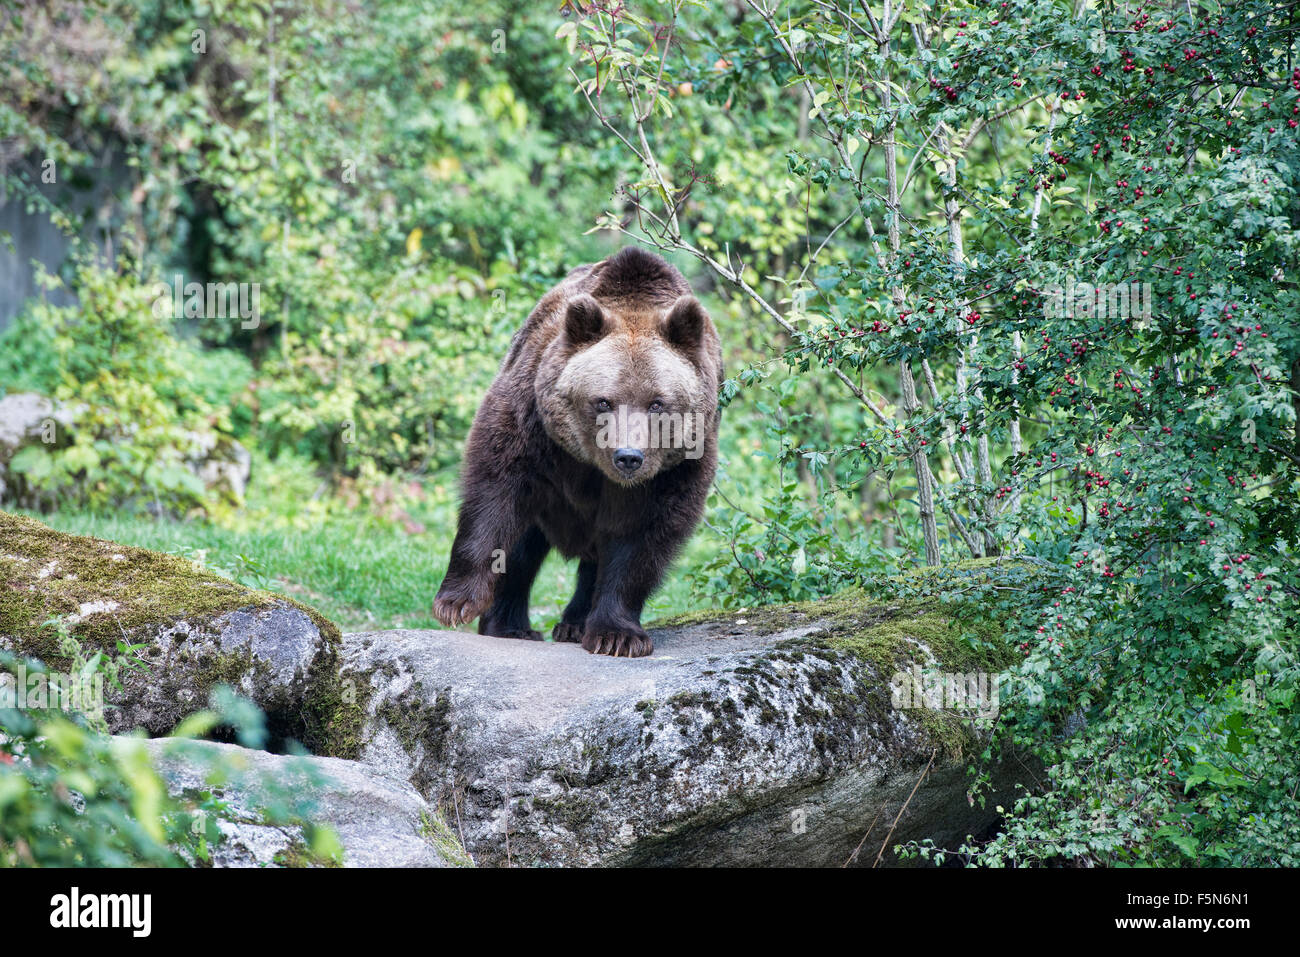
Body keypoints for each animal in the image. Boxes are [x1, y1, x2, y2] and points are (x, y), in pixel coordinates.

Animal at [432, 246, 722, 658]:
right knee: (522, 547)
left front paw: (617, 635)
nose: (628, 457)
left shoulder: (676, 468)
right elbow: (494, 491)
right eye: (603, 401)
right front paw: (456, 603)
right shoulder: (533, 426)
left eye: (657, 403)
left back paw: (574, 622)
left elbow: (639, 538)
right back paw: (510, 625)